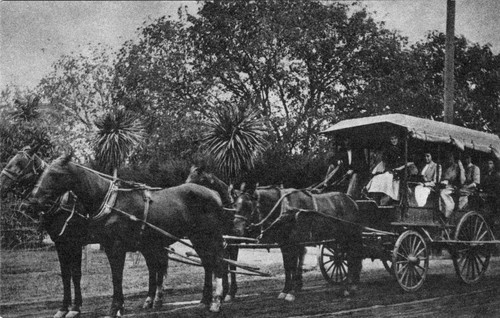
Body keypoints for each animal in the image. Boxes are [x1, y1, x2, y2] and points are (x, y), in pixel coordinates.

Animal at [0, 147, 86, 318]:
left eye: (18, 164)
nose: (0, 185)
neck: (62, 203)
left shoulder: (74, 244)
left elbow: (76, 274)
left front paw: (75, 308)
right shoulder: (60, 244)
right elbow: (65, 275)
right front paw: (63, 308)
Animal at [27, 153, 230, 316]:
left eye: (55, 174)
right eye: (42, 173)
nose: (33, 201)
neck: (111, 202)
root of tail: (214, 194)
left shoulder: (113, 247)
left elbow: (115, 276)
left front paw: (114, 308)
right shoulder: (103, 247)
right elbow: (111, 276)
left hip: (209, 236)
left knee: (218, 263)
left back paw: (216, 302)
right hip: (196, 238)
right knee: (207, 264)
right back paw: (204, 300)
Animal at [232, 186, 362, 300]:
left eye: (248, 205)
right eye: (235, 205)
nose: (237, 230)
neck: (285, 208)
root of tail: (352, 201)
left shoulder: (295, 243)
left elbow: (293, 266)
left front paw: (292, 292)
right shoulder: (284, 245)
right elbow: (287, 267)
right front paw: (285, 290)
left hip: (350, 237)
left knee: (353, 258)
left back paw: (350, 287)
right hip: (341, 238)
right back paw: (352, 284)